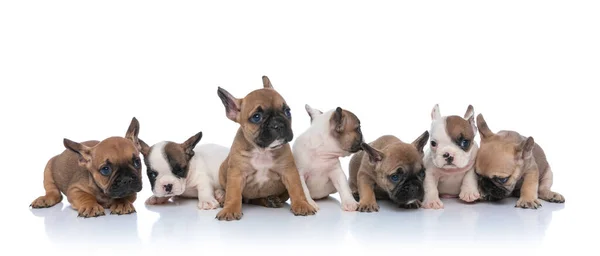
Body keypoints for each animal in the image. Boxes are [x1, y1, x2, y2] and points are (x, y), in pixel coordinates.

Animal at [216, 75, 318, 220]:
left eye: (287, 111)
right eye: (256, 117)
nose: (278, 124)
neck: (262, 151)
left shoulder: (289, 172)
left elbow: (297, 189)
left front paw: (302, 204)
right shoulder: (236, 175)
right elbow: (233, 194)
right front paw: (229, 208)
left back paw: (270, 200)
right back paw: (222, 198)